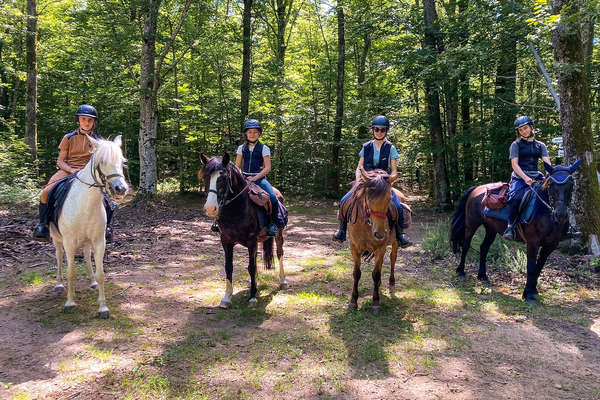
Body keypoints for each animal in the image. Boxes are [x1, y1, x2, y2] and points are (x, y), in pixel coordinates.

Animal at [50, 136, 128, 318]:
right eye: (103, 161)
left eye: (122, 161)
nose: (121, 189)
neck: (84, 204)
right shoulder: (69, 242)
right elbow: (71, 272)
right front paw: (70, 303)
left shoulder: (99, 241)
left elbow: (101, 274)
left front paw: (103, 307)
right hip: (56, 239)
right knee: (58, 257)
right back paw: (59, 284)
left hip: (87, 241)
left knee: (86, 255)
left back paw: (92, 282)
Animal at [200, 153, 286, 308]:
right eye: (205, 177)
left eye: (223, 178)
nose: (210, 208)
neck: (236, 208)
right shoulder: (226, 240)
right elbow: (229, 267)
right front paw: (227, 297)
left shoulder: (251, 241)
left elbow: (251, 267)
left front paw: (252, 297)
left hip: (279, 233)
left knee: (280, 253)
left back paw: (283, 280)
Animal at [344, 168, 400, 313]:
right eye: (368, 199)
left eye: (389, 199)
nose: (379, 234)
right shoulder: (354, 248)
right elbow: (356, 273)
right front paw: (353, 301)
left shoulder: (380, 248)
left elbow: (376, 274)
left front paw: (375, 302)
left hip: (395, 243)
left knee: (392, 258)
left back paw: (391, 283)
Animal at [449, 159, 582, 305]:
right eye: (552, 185)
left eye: (571, 184)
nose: (560, 214)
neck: (546, 212)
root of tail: (477, 189)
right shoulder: (533, 243)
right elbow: (531, 267)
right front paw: (528, 295)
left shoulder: (551, 245)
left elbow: (539, 267)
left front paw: (533, 291)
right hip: (472, 224)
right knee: (466, 245)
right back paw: (461, 271)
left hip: (491, 229)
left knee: (484, 248)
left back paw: (482, 276)